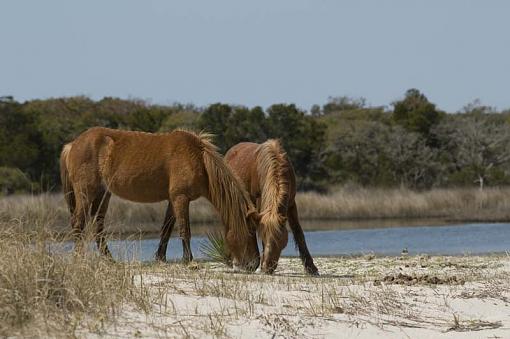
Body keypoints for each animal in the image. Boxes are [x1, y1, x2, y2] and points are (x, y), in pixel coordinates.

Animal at [59, 127, 258, 270]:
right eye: (250, 231)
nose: (254, 264)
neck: (198, 159)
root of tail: (72, 145)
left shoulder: (173, 200)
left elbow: (166, 229)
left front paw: (161, 258)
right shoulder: (181, 198)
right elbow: (185, 229)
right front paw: (189, 261)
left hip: (103, 195)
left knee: (98, 228)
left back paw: (110, 260)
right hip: (86, 193)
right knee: (78, 223)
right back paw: (80, 259)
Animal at [224, 141, 316, 276]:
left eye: (279, 239)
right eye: (263, 238)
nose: (267, 268)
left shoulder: (291, 204)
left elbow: (298, 232)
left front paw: (311, 268)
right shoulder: (259, 201)